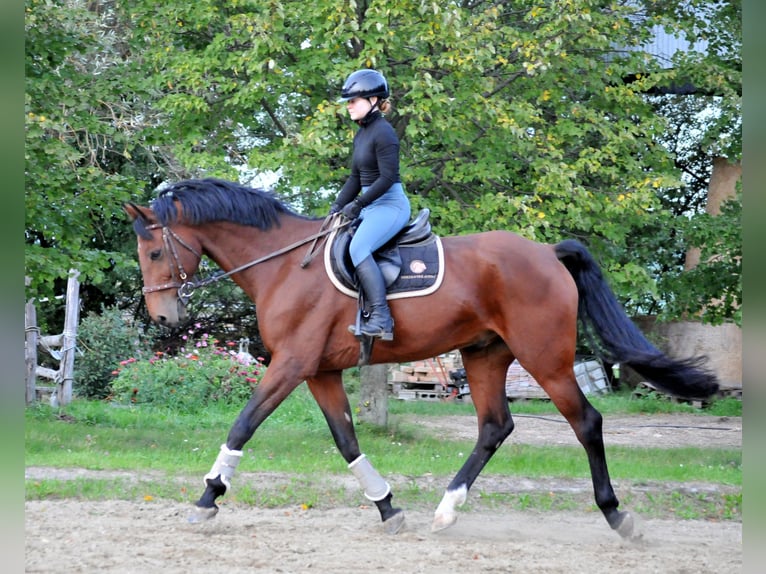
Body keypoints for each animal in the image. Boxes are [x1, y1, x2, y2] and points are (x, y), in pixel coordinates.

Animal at [125, 177, 718, 538]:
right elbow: (347, 441)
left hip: (544, 358)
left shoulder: (291, 364)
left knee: (586, 422)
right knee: (494, 426)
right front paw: (388, 507)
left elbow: (243, 425)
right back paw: (446, 508)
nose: (163, 319)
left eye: (153, 251)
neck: (284, 264)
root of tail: (547, 253)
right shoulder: (320, 371)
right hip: (484, 356)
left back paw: (617, 515)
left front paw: (207, 498)